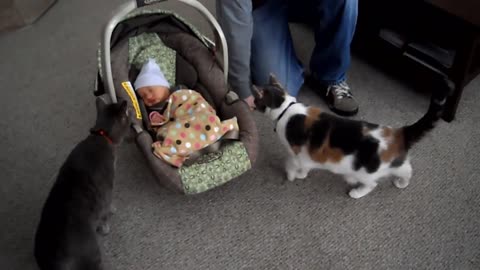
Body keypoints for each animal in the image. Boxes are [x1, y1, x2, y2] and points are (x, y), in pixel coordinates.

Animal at [34, 98, 132, 270]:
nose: (131, 112)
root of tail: (55, 260)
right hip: (93, 255)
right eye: (127, 114)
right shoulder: (107, 191)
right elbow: (106, 210)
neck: (101, 136)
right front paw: (108, 222)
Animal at [253, 74, 452, 198]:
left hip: (364, 171)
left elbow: (292, 164)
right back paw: (402, 182)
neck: (286, 110)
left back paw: (357, 192)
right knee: (407, 169)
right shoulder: (306, 156)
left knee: (372, 184)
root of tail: (399, 133)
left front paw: (293, 176)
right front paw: (301, 174)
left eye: (255, 100)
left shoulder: (296, 153)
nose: (251, 103)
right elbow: (306, 165)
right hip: (394, 163)